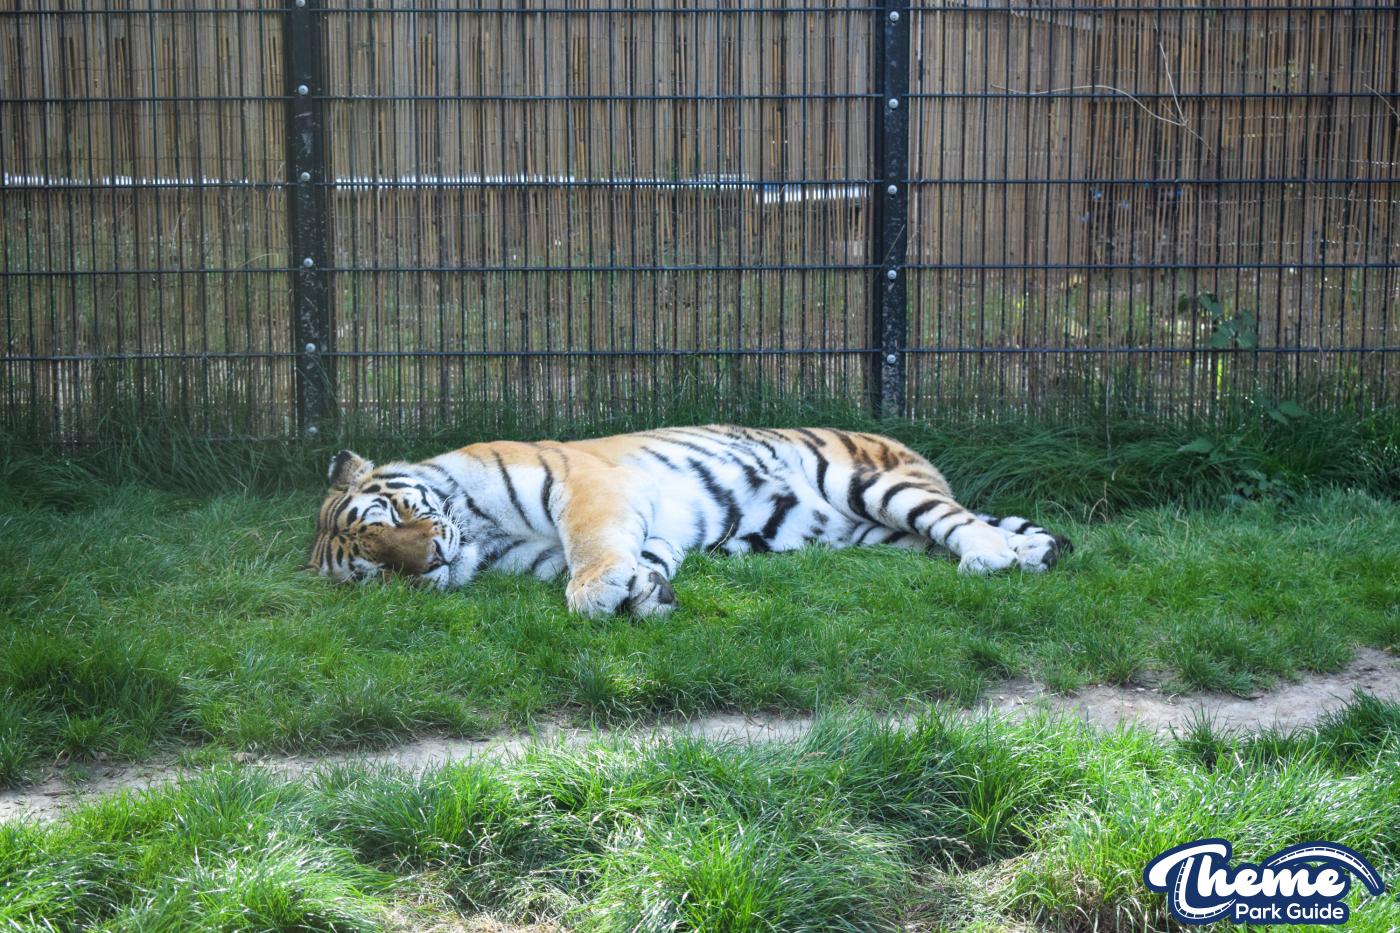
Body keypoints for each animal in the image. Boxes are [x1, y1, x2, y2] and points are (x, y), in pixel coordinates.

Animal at [310, 425, 1071, 617]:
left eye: (398, 510)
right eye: (376, 569)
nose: (431, 561)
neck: (481, 535)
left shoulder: (586, 488)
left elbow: (592, 546)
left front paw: (598, 593)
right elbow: (642, 560)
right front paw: (645, 594)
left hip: (868, 483)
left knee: (956, 520)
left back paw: (996, 554)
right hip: (872, 532)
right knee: (934, 534)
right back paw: (1032, 551)